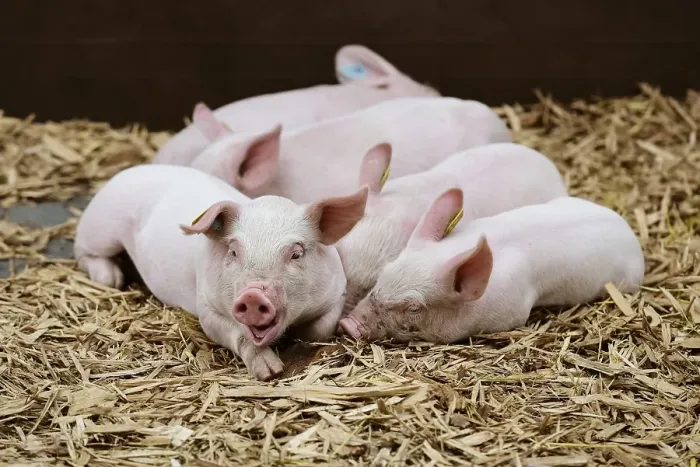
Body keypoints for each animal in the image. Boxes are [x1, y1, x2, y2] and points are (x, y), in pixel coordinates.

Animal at [73, 164, 368, 380]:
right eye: (234, 251)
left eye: (296, 253)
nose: (253, 296)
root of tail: (127, 171)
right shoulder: (206, 306)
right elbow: (234, 332)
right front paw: (270, 371)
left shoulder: (337, 292)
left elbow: (321, 330)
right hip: (100, 229)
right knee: (82, 250)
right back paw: (112, 279)